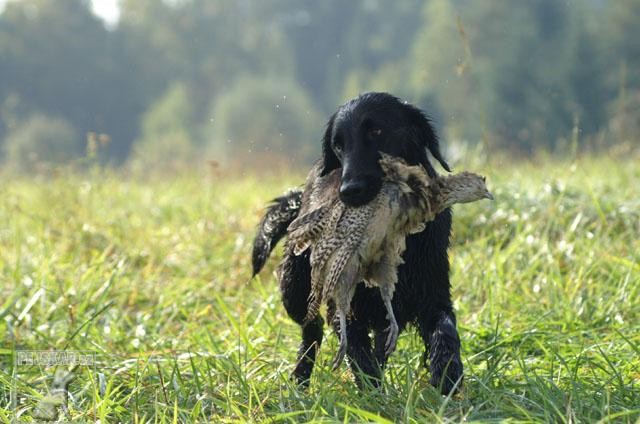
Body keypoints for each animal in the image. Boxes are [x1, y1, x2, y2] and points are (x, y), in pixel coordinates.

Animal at [252, 92, 462, 394]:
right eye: (338, 145)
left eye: (376, 131)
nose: (349, 191)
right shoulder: (346, 307)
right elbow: (358, 353)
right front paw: (374, 395)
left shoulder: (432, 292)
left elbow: (445, 330)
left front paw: (447, 375)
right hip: (293, 287)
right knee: (312, 330)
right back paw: (300, 382)